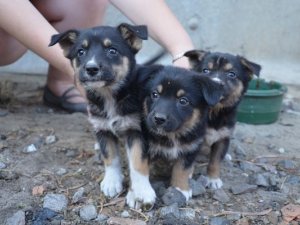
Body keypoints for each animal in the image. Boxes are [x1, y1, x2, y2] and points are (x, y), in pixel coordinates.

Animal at [48, 22, 157, 209]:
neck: (108, 95)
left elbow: (138, 162)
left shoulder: (136, 130)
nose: (91, 68)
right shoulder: (102, 129)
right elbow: (110, 157)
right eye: (81, 52)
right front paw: (112, 182)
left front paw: (142, 191)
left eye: (112, 51)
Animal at [137, 65, 224, 200]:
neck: (173, 135)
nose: (159, 119)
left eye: (183, 101)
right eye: (155, 94)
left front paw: (180, 189)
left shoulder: (190, 149)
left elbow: (182, 170)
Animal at [184, 50, 262, 189]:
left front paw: (213, 179)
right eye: (205, 70)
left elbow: (215, 161)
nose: (215, 83)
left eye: (231, 74)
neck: (214, 113)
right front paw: (187, 177)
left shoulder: (223, 137)